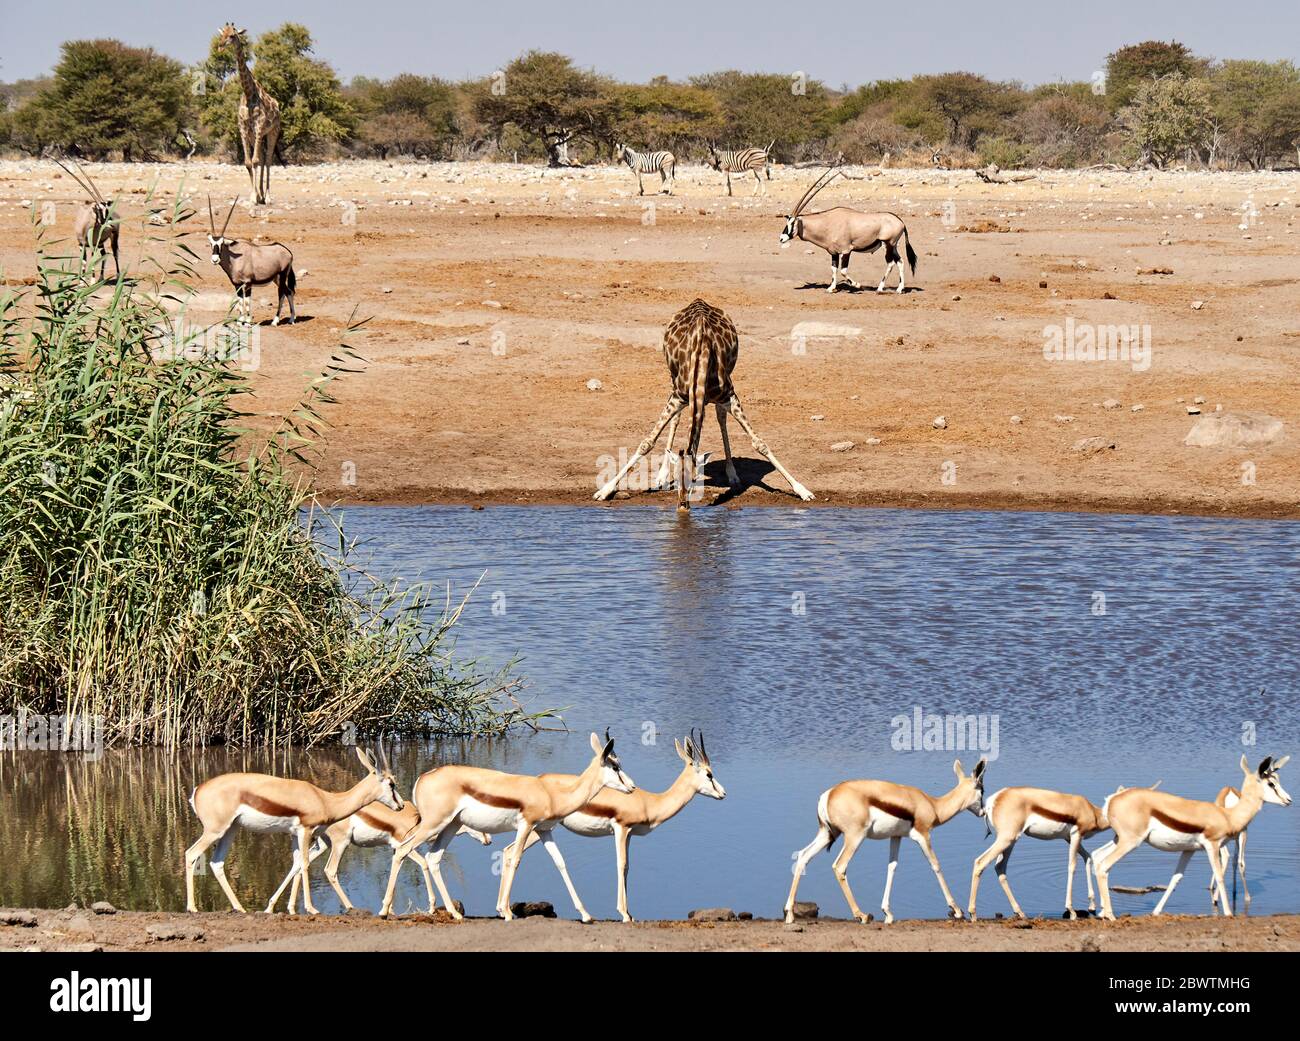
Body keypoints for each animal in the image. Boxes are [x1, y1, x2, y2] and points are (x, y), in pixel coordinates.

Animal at [219, 23, 280, 205]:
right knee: (262, 158)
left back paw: (268, 196)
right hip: (256, 136)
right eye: (221, 35)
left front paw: (257, 197)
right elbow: (248, 162)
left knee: (268, 160)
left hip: (273, 131)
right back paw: (261, 195)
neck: (248, 92)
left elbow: (255, 161)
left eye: (232, 35)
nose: (219, 46)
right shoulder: (243, 128)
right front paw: (254, 196)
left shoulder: (259, 127)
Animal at [592, 296, 811, 506]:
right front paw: (605, 490)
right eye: (678, 480)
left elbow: (760, 443)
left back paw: (732, 474)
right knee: (677, 419)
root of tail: (698, 300)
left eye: (695, 479)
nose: (683, 505)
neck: (701, 359)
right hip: (673, 378)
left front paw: (803, 490)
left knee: (721, 418)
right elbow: (647, 442)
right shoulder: (678, 396)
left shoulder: (729, 395)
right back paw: (662, 475)